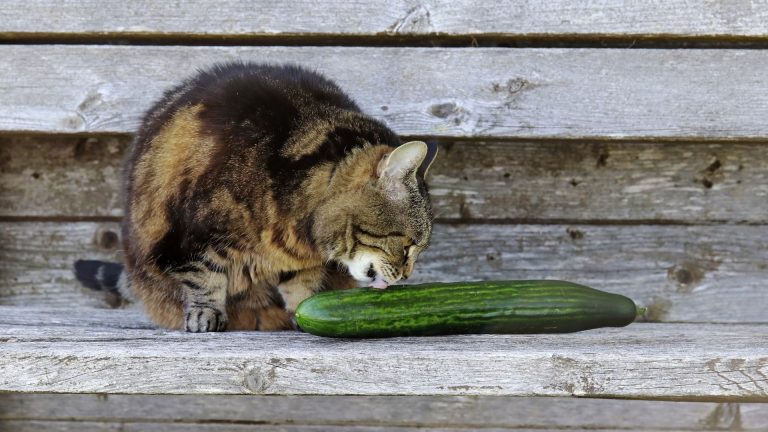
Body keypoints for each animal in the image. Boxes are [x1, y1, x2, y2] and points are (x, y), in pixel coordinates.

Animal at [78, 61, 438, 330]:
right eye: (407, 246)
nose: (407, 276)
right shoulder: (189, 238)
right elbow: (203, 277)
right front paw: (206, 314)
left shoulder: (299, 261)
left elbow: (301, 285)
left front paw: (303, 309)